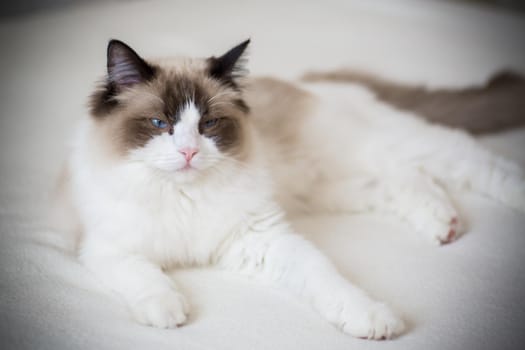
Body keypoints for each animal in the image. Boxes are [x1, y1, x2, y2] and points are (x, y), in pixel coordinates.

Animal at [59, 37, 524, 340]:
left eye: (208, 124)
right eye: (161, 124)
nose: (189, 152)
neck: (184, 197)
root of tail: (317, 79)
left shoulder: (263, 238)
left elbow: (329, 280)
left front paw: (373, 319)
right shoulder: (109, 249)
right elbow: (147, 279)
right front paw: (168, 311)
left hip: (397, 146)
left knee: (471, 161)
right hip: (342, 186)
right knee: (406, 179)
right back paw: (444, 226)